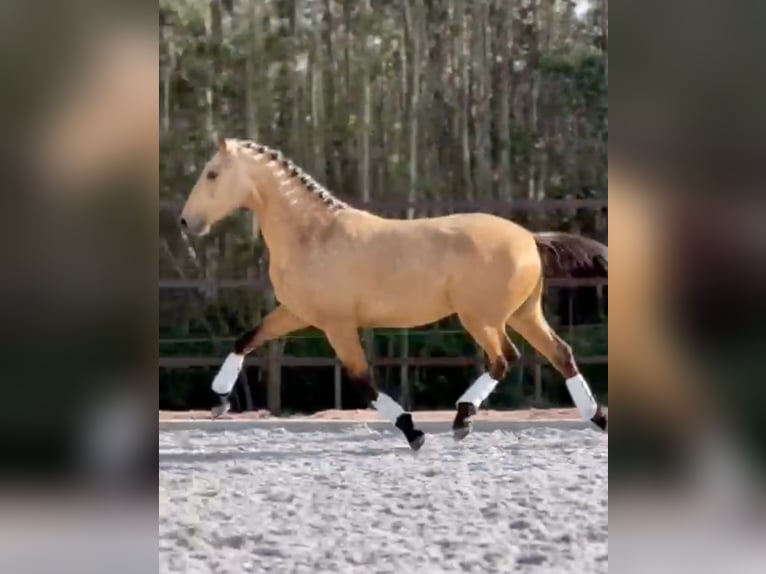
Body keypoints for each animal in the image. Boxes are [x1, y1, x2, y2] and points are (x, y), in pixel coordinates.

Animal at [180, 137, 612, 452]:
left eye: (212, 174)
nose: (187, 222)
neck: (315, 236)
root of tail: (529, 238)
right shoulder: (297, 313)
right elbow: (246, 339)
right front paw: (218, 400)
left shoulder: (337, 324)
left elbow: (362, 380)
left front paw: (412, 431)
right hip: (523, 313)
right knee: (560, 354)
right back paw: (597, 417)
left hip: (482, 318)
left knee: (504, 359)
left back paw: (462, 418)